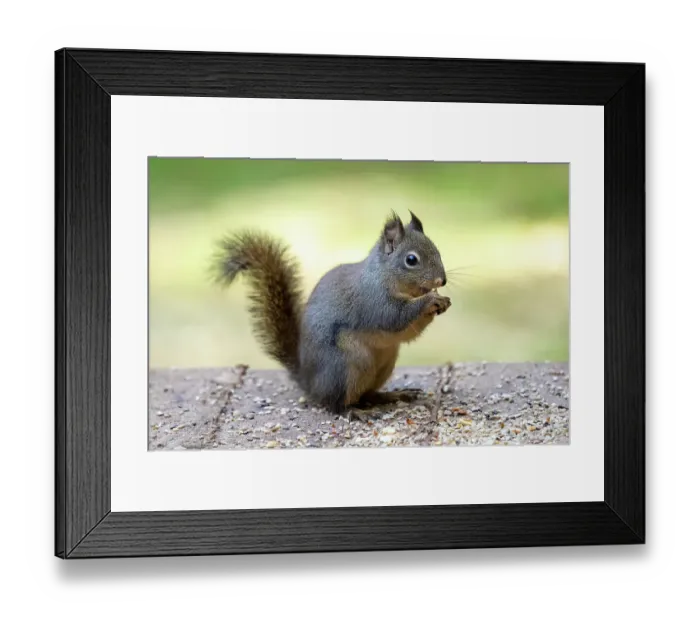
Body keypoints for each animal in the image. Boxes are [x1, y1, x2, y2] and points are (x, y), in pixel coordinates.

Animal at [211, 211, 451, 415]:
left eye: (438, 251)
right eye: (411, 260)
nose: (442, 281)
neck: (384, 276)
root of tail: (308, 382)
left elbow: (408, 331)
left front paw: (442, 302)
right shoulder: (373, 301)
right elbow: (395, 317)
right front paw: (431, 300)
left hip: (384, 363)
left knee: (367, 395)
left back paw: (394, 395)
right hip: (344, 367)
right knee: (335, 403)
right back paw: (355, 411)